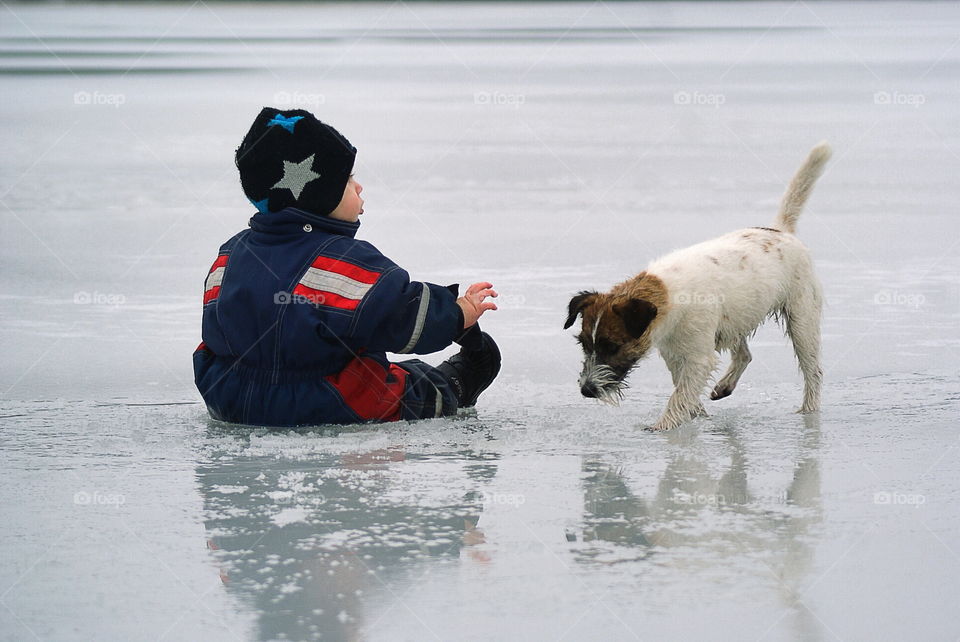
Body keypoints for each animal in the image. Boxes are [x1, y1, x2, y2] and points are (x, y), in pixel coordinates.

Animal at [564, 141, 832, 430]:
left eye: (612, 346)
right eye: (583, 343)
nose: (587, 390)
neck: (669, 295)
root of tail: (780, 231)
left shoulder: (697, 357)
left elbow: (681, 393)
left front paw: (663, 426)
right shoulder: (674, 353)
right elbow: (684, 390)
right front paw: (695, 414)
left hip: (802, 319)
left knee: (813, 370)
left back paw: (809, 410)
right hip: (734, 319)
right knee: (744, 354)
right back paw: (725, 385)